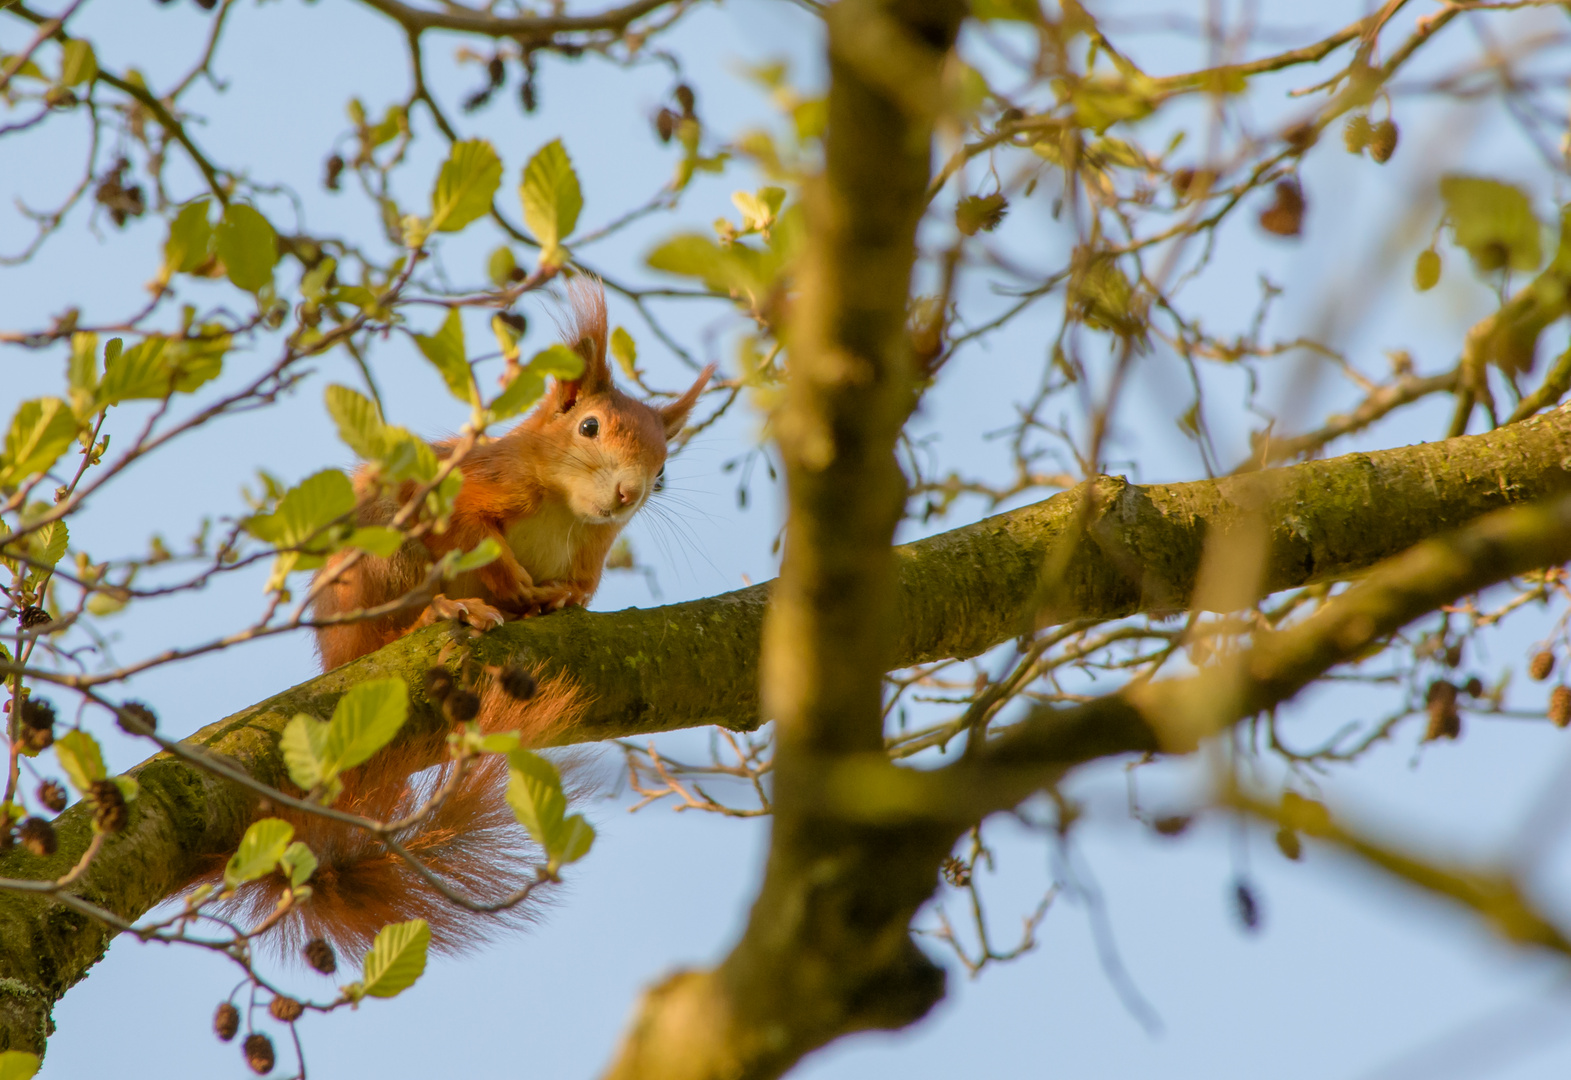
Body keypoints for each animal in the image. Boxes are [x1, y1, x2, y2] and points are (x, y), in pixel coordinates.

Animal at [212, 282, 716, 962]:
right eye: (588, 427)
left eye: (664, 471)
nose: (627, 495)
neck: (567, 512)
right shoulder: (471, 489)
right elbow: (476, 535)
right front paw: (508, 585)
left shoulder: (592, 555)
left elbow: (578, 590)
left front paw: (557, 601)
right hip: (385, 550)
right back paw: (444, 610)